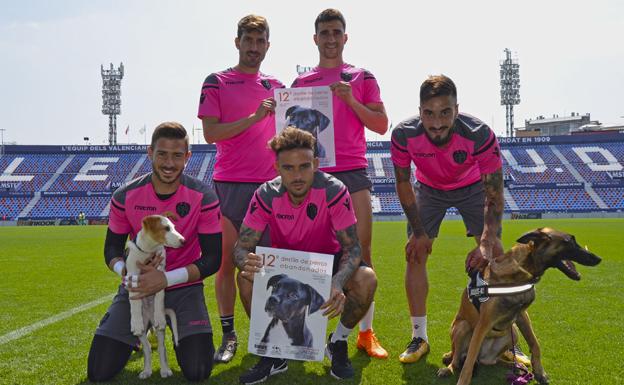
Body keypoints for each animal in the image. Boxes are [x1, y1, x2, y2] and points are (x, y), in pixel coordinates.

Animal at [125, 216, 184, 378]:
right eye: (166, 228)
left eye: (174, 227)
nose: (183, 240)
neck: (148, 251)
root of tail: (149, 319)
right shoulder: (132, 277)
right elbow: (134, 305)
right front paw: (135, 321)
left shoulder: (159, 275)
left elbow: (158, 297)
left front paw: (158, 313)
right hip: (143, 331)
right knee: (147, 349)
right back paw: (146, 370)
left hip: (159, 330)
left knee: (162, 347)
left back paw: (164, 370)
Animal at [436, 228, 604, 384]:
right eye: (569, 241)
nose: (598, 258)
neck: (522, 270)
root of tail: (483, 356)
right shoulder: (484, 323)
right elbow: (468, 364)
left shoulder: (522, 315)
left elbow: (535, 344)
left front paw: (539, 372)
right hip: (462, 327)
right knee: (458, 358)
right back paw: (448, 368)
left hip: (513, 333)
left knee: (492, 361)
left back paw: (515, 366)